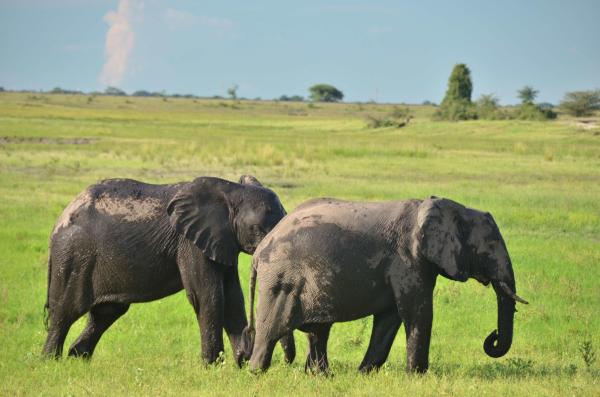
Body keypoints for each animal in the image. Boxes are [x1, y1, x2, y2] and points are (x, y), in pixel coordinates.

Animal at [42, 173, 296, 366]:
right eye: (257, 228)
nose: (285, 363)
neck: (231, 191)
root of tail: (60, 218)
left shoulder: (222, 240)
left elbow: (233, 297)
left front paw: (240, 364)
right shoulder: (190, 242)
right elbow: (208, 296)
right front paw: (213, 365)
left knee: (106, 313)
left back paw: (77, 359)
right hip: (73, 255)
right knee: (65, 311)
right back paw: (50, 363)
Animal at [246, 196, 528, 372]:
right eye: (489, 247)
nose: (492, 336)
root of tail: (260, 251)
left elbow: (389, 319)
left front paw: (364, 373)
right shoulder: (408, 260)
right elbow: (418, 313)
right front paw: (417, 377)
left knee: (318, 331)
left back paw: (322, 376)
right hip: (281, 279)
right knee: (273, 328)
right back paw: (256, 372)